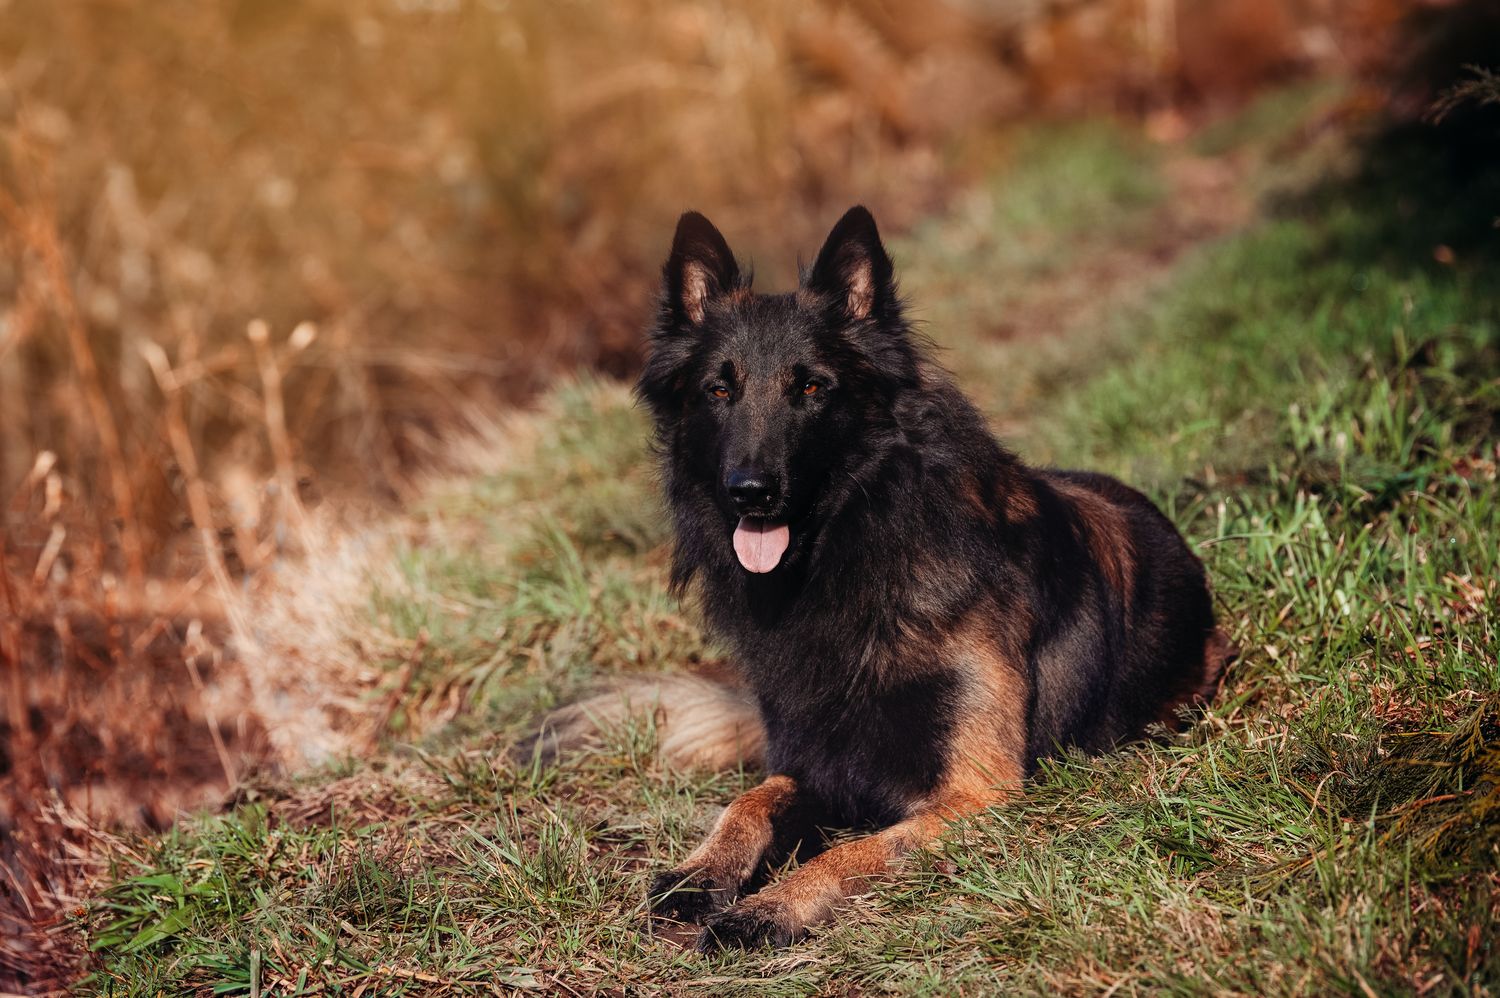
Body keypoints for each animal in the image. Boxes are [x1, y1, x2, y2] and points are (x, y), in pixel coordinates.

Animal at [534, 204, 1224, 948]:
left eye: (811, 387)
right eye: (719, 389)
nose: (749, 492)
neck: (851, 562)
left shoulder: (976, 793)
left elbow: (852, 851)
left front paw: (769, 907)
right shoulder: (816, 760)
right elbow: (750, 800)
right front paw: (700, 874)